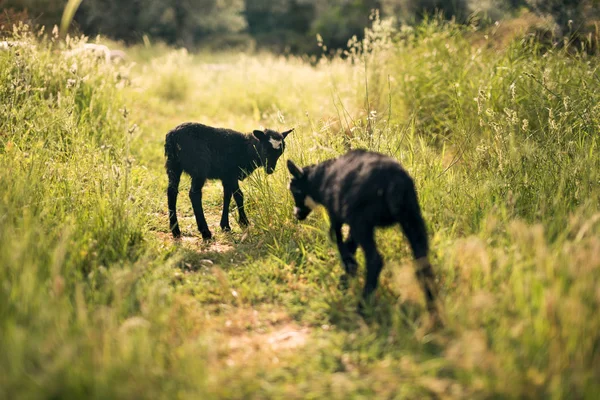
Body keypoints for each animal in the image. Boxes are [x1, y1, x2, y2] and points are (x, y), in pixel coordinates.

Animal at [288, 150, 438, 318]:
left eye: (295, 190)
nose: (296, 214)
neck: (321, 178)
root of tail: (394, 181)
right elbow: (350, 245)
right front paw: (346, 276)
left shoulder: (338, 216)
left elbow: (338, 241)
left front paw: (348, 272)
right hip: (411, 217)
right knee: (422, 261)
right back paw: (433, 311)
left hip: (363, 221)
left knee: (375, 260)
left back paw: (362, 307)